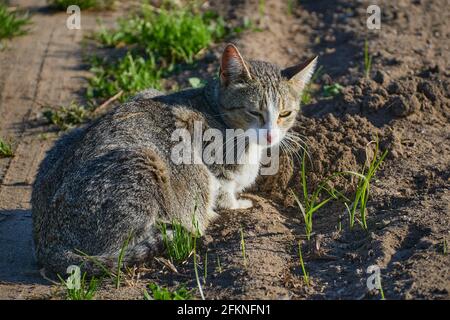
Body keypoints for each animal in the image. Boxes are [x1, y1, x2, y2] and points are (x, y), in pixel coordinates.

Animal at [31, 43, 318, 276]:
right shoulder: (205, 155)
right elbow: (223, 188)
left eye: (285, 114)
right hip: (143, 161)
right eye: (254, 112)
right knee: (121, 249)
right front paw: (235, 205)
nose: (270, 135)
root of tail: (46, 244)